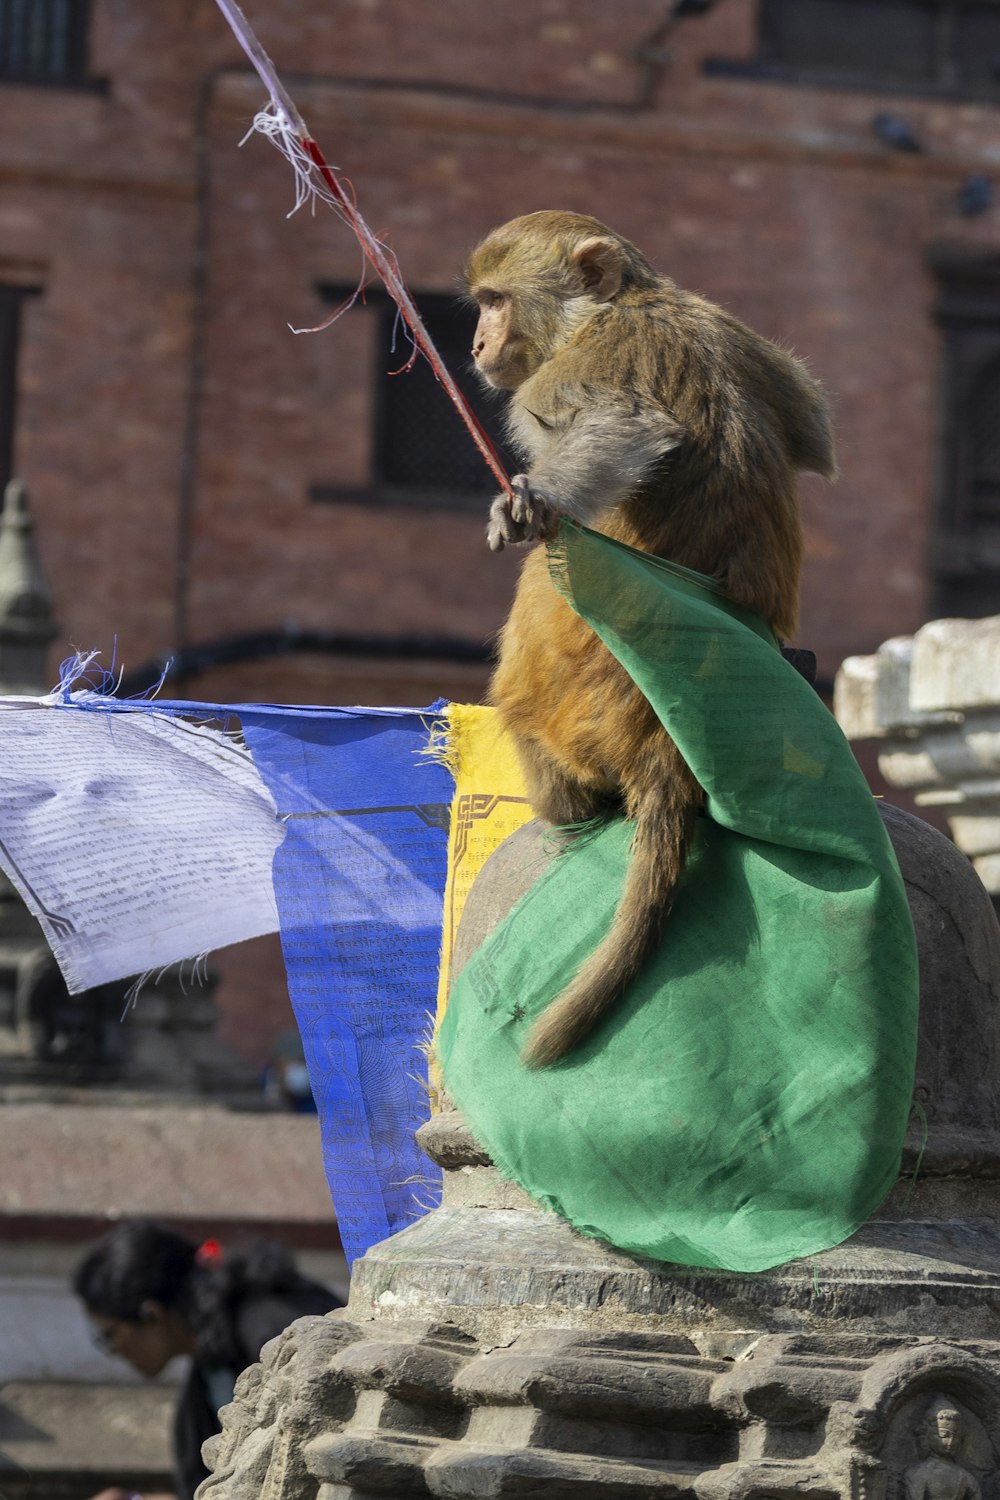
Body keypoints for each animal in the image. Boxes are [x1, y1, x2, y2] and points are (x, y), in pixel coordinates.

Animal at [464, 211, 833, 1074]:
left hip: (566, 698)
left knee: (542, 585)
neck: (623, 303)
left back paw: (564, 806)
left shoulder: (571, 371)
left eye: (496, 301)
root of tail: (666, 744)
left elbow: (624, 428)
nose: (474, 342)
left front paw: (531, 500)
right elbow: (812, 429)